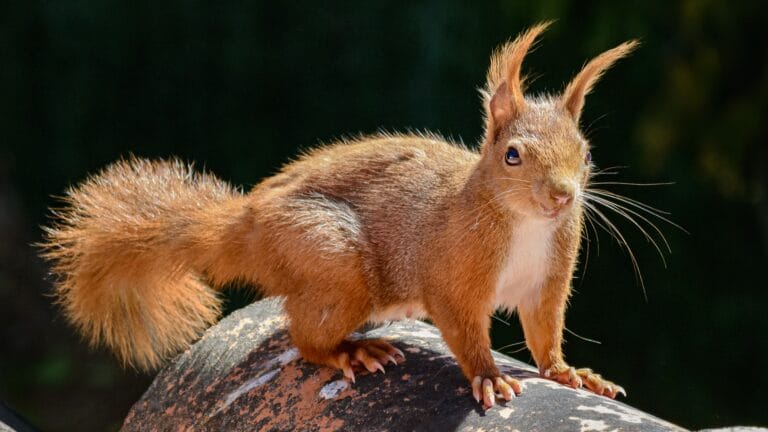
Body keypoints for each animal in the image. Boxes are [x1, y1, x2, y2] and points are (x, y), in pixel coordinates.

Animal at [41, 23, 637, 409]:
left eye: (586, 154)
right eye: (512, 155)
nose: (562, 197)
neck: (525, 223)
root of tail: (246, 224)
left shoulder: (547, 280)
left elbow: (544, 332)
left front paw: (571, 373)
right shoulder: (453, 272)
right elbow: (466, 330)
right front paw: (489, 378)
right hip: (333, 258)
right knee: (304, 338)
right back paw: (351, 351)